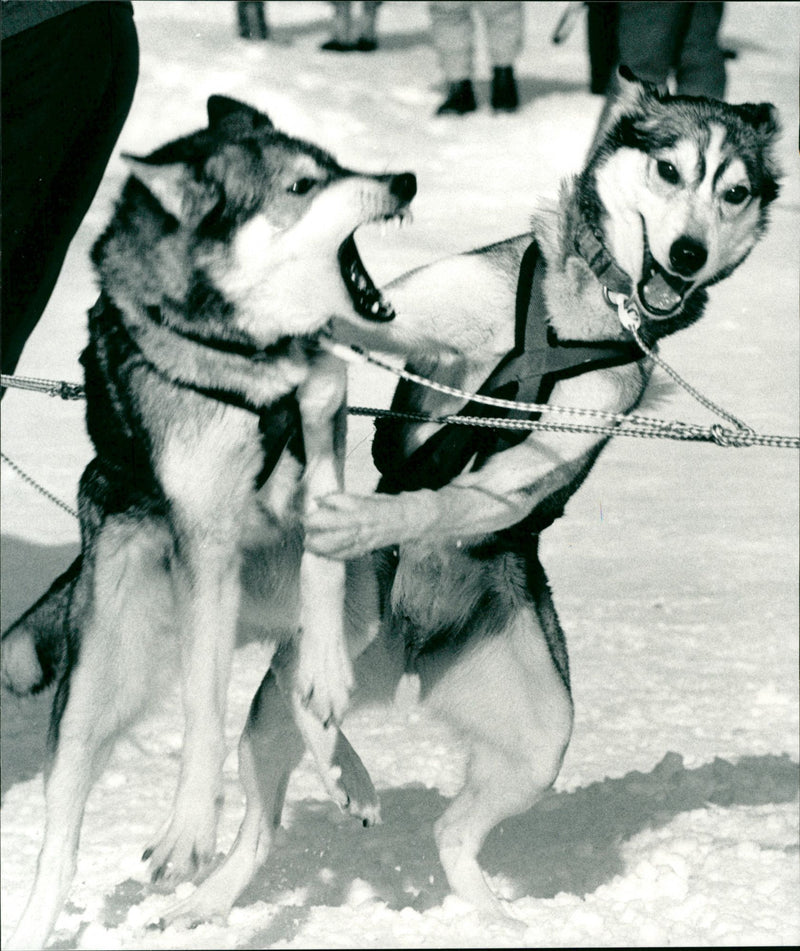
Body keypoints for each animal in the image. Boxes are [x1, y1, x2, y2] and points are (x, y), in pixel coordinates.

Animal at [4, 93, 418, 948]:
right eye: (301, 184)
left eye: (336, 164)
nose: (403, 180)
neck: (249, 354)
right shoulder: (207, 543)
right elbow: (201, 704)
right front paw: (189, 824)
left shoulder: (324, 419)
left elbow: (321, 540)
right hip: (101, 681)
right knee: (62, 830)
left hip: (358, 603)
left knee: (292, 706)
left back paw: (338, 753)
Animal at [158, 70, 780, 924]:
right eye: (669, 171)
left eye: (734, 190)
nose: (688, 253)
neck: (574, 315)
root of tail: (408, 654)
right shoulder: (412, 318)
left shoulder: (552, 447)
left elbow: (455, 496)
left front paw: (382, 513)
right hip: (334, 651)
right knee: (275, 773)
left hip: (539, 733)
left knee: (445, 826)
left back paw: (488, 911)